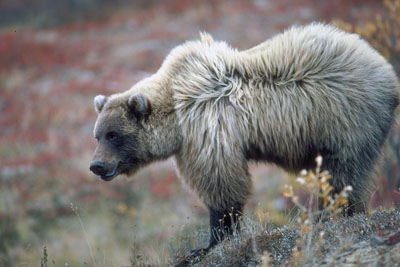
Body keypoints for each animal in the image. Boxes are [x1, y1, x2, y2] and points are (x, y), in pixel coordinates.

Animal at [89, 23, 398, 255]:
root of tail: (385, 69)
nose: (97, 166)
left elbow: (221, 184)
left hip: (345, 118)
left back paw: (333, 213)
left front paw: (210, 241)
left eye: (114, 135)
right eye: (98, 135)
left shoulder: (207, 128)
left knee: (343, 173)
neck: (176, 116)